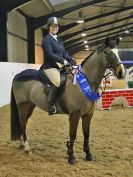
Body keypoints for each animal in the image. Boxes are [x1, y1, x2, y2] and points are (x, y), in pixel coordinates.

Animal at [10, 37, 125, 165]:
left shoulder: (88, 114)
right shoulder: (75, 114)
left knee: (23, 123)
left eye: (118, 52)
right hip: (22, 105)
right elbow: (73, 134)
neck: (85, 81)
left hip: (30, 106)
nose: (121, 72)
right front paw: (71, 157)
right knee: (22, 123)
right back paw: (26, 148)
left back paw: (22, 144)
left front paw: (88, 155)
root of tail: (18, 75)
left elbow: (86, 134)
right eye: (108, 53)